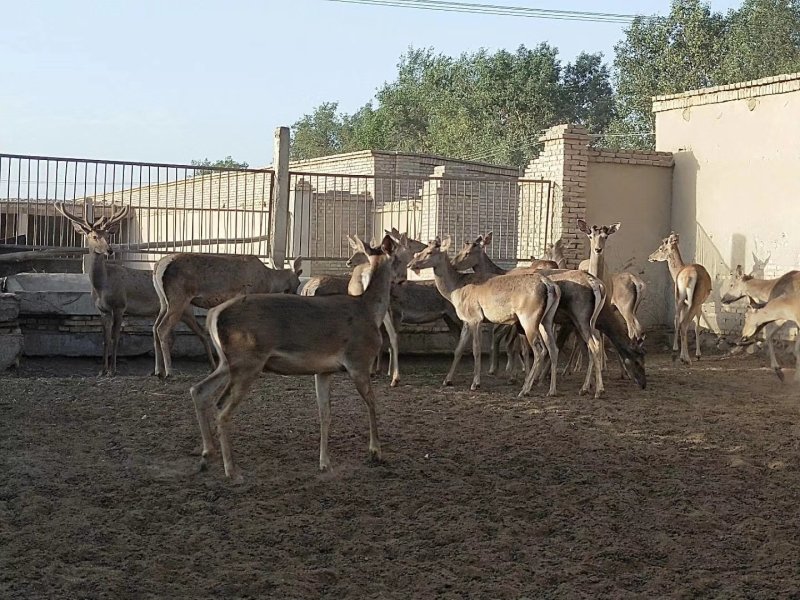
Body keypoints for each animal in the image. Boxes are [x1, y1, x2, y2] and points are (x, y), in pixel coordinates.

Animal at [54, 201, 215, 377]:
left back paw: (211, 367)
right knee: (169, 334)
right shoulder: (102, 310)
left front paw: (113, 370)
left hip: (184, 308)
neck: (102, 286)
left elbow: (115, 338)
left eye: (108, 236)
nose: (110, 250)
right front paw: (102, 370)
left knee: (201, 332)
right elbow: (104, 339)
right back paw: (158, 370)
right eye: (94, 236)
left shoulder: (119, 305)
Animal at [153, 251, 303, 379]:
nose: (296, 294)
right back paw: (169, 372)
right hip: (178, 298)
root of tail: (158, 266)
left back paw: (158, 371)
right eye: (299, 282)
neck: (269, 283)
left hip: (164, 301)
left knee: (155, 327)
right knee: (162, 328)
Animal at [189, 234, 398, 481]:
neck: (370, 311)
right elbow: (372, 403)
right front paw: (376, 452)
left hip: (226, 363)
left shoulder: (324, 370)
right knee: (221, 410)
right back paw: (231, 470)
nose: (403, 277)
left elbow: (325, 413)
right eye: (397, 254)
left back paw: (206, 455)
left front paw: (324, 463)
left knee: (199, 390)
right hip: (247, 362)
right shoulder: (359, 360)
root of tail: (213, 314)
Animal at [406, 236, 561, 397]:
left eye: (429, 252)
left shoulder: (475, 317)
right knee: (553, 348)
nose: (410, 264)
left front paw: (475, 383)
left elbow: (476, 349)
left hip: (528, 318)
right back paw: (551, 390)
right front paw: (447, 380)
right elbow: (458, 349)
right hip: (547, 319)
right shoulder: (466, 320)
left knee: (538, 350)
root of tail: (550, 286)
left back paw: (525, 389)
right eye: (422, 250)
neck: (454, 290)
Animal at [648, 232, 712, 365]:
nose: (650, 256)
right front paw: (698, 354)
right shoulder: (698, 304)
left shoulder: (682, 303)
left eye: (661, 248)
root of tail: (690, 277)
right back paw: (687, 359)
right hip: (693, 301)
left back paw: (681, 356)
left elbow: (678, 321)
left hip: (680, 298)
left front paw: (678, 352)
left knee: (681, 322)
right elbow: (697, 326)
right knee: (684, 323)